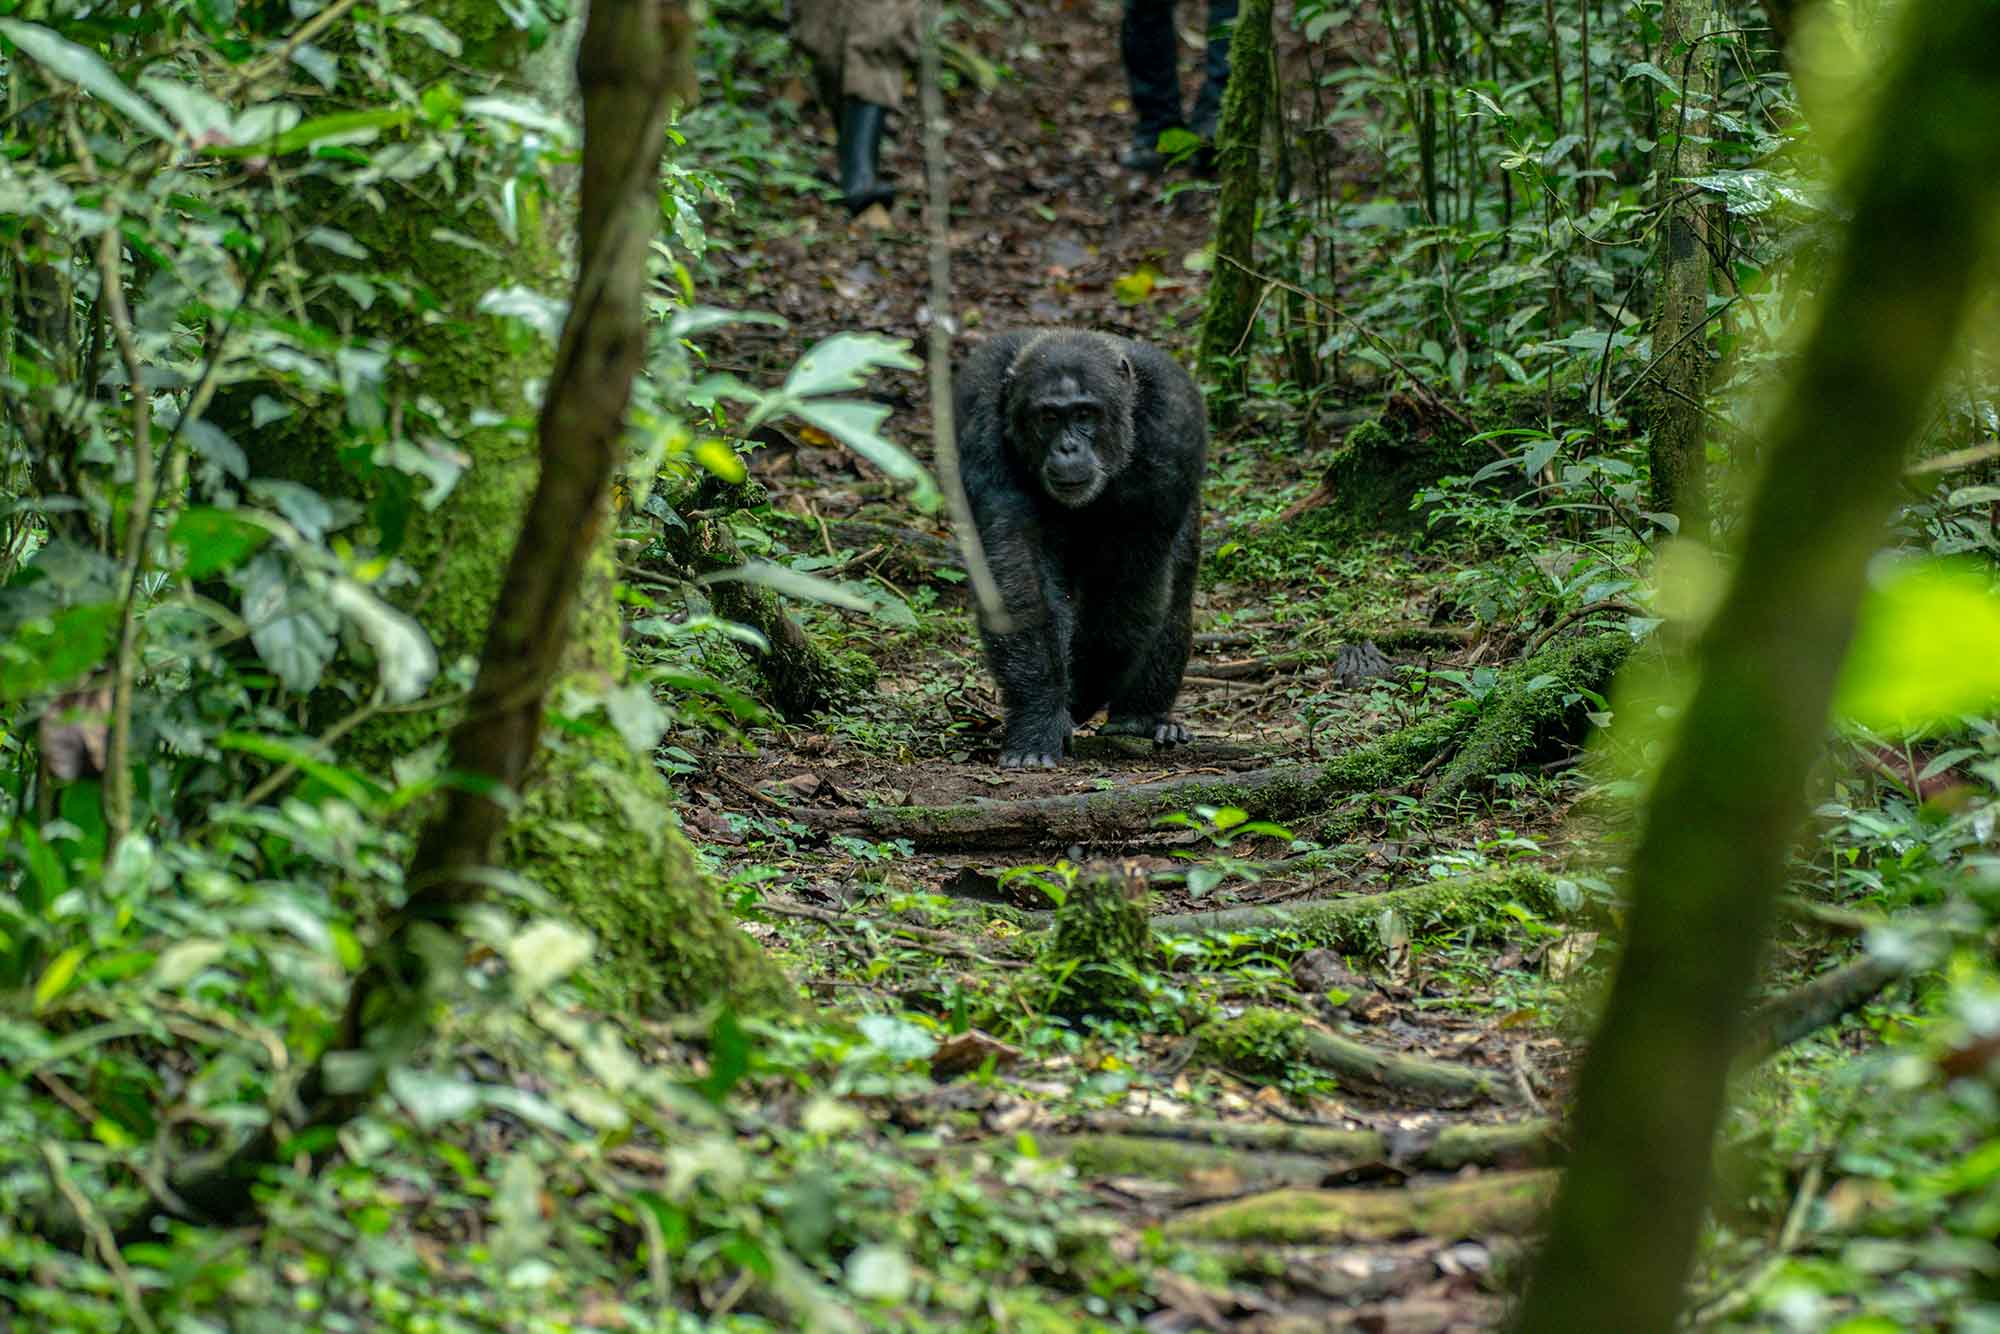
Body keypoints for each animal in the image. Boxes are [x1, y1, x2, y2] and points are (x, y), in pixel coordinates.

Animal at [953, 329, 1207, 769]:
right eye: (1049, 418)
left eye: (1086, 414)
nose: (1068, 448)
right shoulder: (977, 417)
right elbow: (1019, 567)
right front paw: (1039, 717)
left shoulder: (1174, 428)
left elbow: (1124, 587)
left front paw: (1077, 699)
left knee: (1173, 596)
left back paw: (1142, 719)